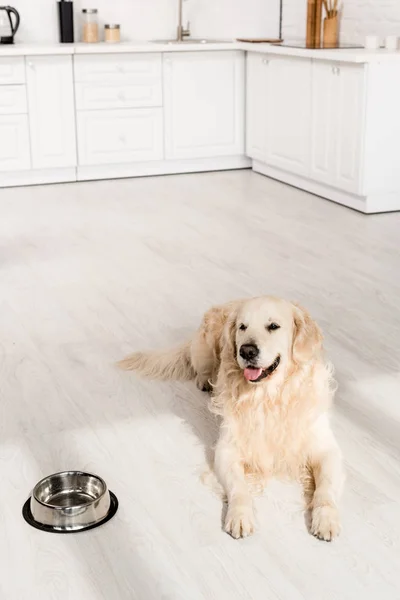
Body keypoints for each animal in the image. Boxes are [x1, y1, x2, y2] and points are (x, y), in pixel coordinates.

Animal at [119, 298, 344, 540]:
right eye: (242, 327)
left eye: (274, 326)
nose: (247, 351)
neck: (268, 396)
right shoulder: (227, 449)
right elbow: (239, 488)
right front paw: (240, 516)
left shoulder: (327, 449)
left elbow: (325, 488)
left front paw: (326, 518)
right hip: (204, 351)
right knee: (201, 368)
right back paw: (205, 381)